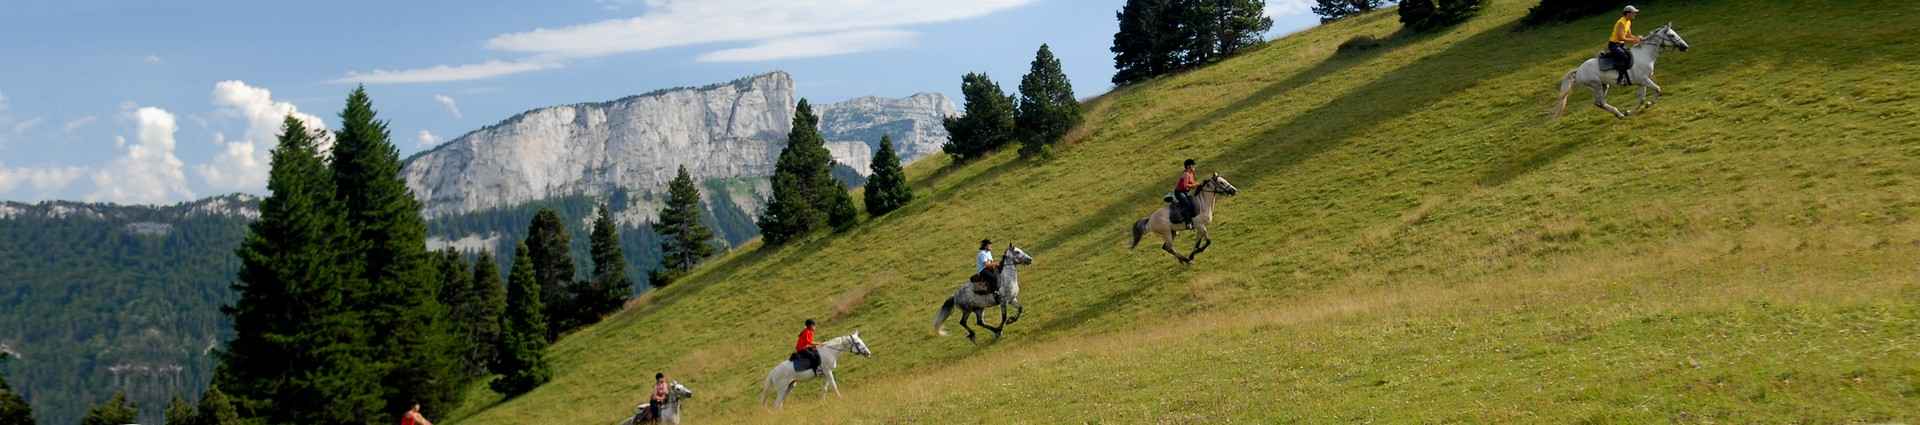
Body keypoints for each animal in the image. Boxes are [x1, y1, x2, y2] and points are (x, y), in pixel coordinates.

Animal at [1551, 23, 1689, 119]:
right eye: (1671, 35)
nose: (1685, 46)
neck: (1645, 54)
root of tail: (1578, 70)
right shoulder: (1645, 80)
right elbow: (1658, 89)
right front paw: (1646, 105)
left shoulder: (1641, 82)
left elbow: (1641, 99)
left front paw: (1631, 110)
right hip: (1596, 85)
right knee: (1601, 102)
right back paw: (1619, 114)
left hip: (1603, 85)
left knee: (1598, 103)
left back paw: (1619, 114)